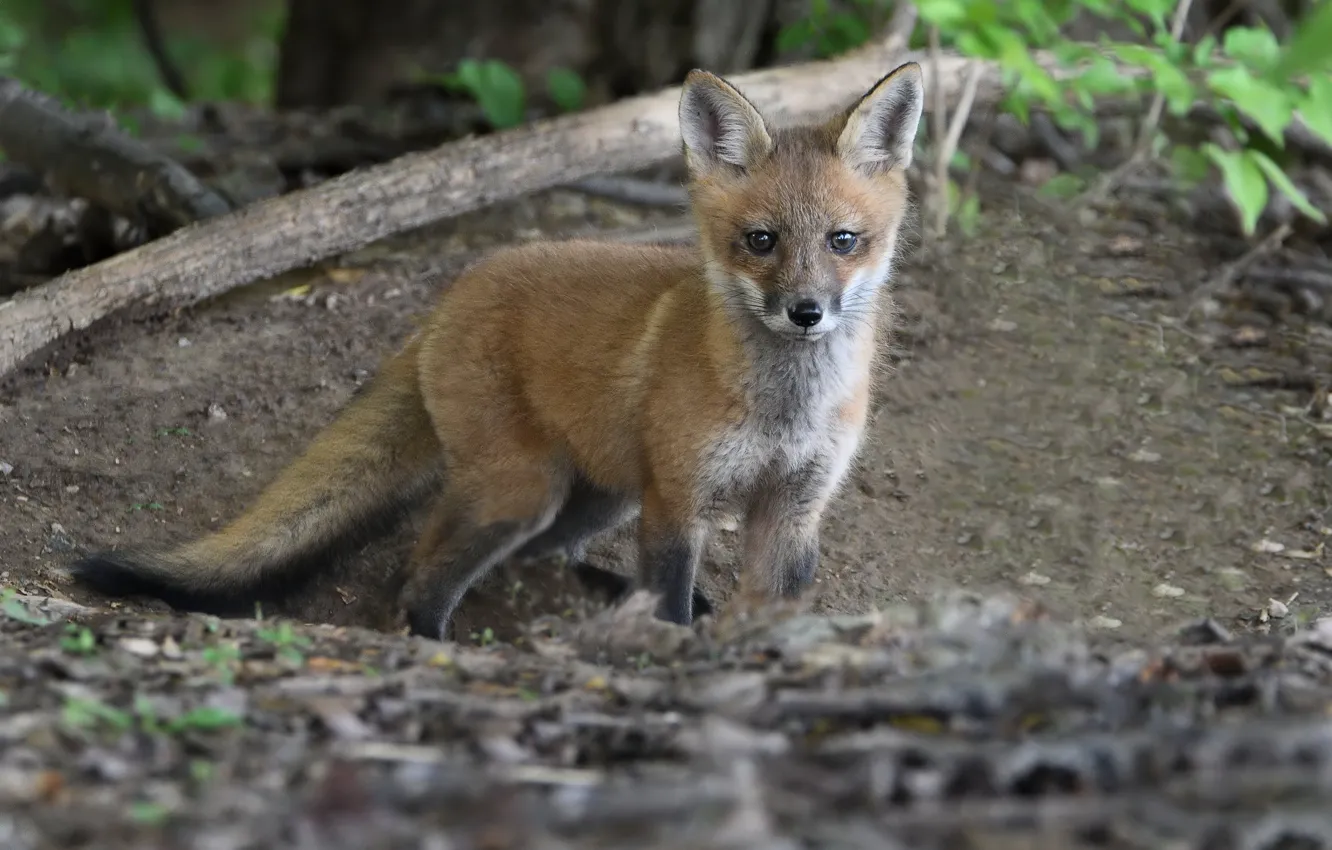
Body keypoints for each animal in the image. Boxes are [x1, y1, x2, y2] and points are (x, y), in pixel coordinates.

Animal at [68, 61, 926, 641]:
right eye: (761, 241)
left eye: (843, 240)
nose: (806, 313)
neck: (784, 406)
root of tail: (457, 289)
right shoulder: (680, 501)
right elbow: (672, 607)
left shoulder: (793, 511)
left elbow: (771, 607)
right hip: (525, 489)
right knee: (419, 568)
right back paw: (430, 643)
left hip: (599, 492)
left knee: (537, 558)